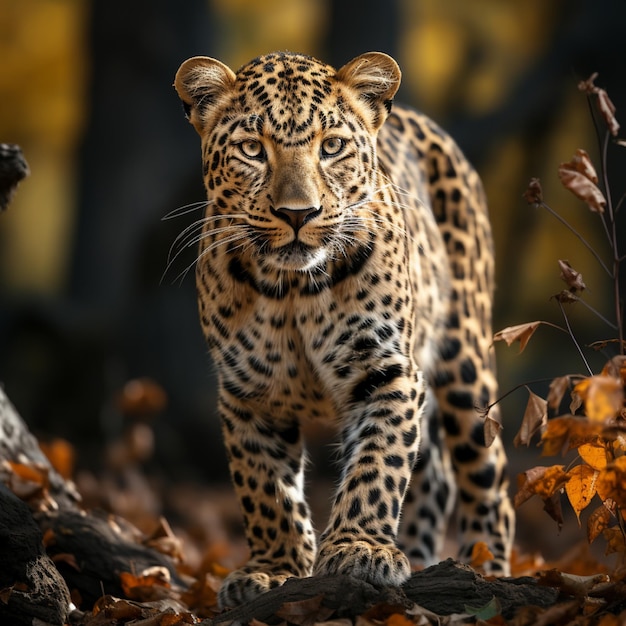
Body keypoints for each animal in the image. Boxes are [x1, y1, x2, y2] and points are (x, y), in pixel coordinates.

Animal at [172, 51, 512, 608]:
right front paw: (272, 570)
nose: (298, 214)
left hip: (466, 365)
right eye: (252, 149)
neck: (291, 289)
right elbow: (266, 490)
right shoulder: (249, 393)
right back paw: (421, 555)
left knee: (487, 480)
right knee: (436, 477)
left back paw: (486, 570)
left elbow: (378, 462)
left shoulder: (388, 371)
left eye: (331, 147)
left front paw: (360, 549)